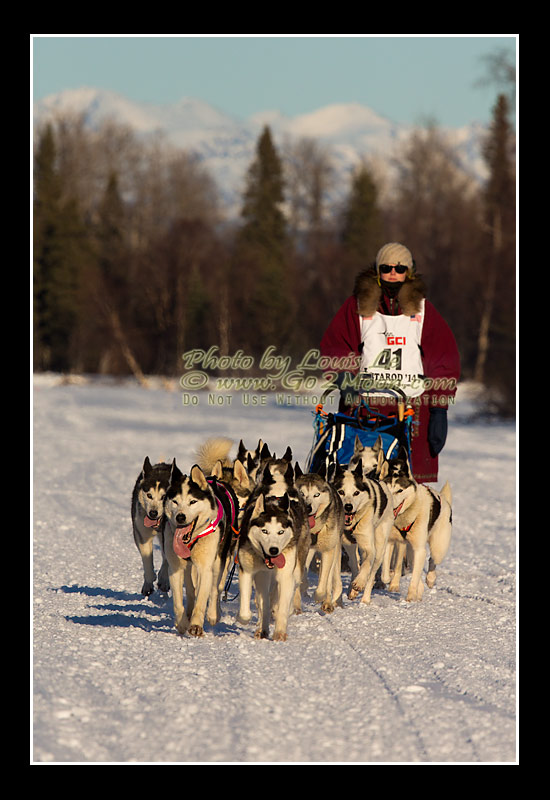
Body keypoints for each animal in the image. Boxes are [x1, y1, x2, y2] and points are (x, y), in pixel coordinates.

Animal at [131, 460, 171, 596]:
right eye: (149, 495)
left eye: (164, 497)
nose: (153, 513)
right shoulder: (142, 534)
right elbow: (147, 559)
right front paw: (148, 582)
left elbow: (167, 559)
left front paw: (163, 579)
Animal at [382, 444, 454, 600]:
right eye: (388, 490)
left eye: (400, 490)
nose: (391, 507)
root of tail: (444, 500)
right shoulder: (390, 541)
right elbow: (385, 574)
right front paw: (390, 578)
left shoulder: (420, 549)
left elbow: (414, 579)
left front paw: (410, 598)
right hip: (408, 550)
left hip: (438, 547)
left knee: (432, 560)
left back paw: (430, 579)